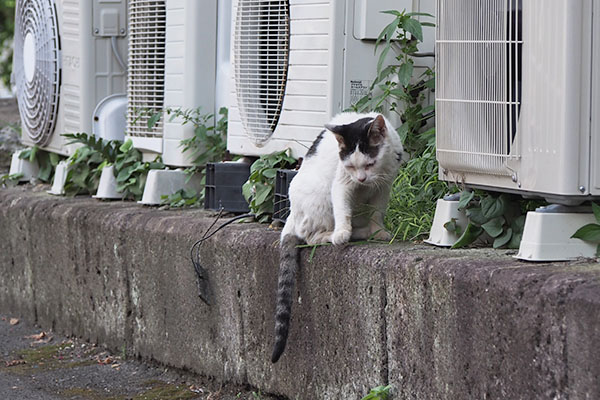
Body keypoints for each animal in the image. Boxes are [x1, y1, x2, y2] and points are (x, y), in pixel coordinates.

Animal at [270, 111, 404, 362]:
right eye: (351, 165)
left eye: (370, 164)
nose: (361, 179)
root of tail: (291, 215)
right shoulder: (342, 182)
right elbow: (343, 209)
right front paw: (342, 233)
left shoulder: (384, 185)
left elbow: (377, 211)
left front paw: (378, 231)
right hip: (320, 199)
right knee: (309, 236)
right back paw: (336, 235)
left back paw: (363, 232)